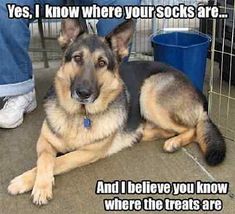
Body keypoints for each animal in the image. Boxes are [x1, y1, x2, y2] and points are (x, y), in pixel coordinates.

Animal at [8, 20, 226, 206]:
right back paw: (142, 134)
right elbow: (45, 159)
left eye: (102, 63)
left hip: (150, 91)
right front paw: (37, 184)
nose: (83, 93)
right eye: (77, 58)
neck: (80, 115)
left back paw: (173, 142)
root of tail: (198, 92)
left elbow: (59, 160)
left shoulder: (88, 152)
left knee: (193, 128)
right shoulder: (45, 141)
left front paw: (27, 183)